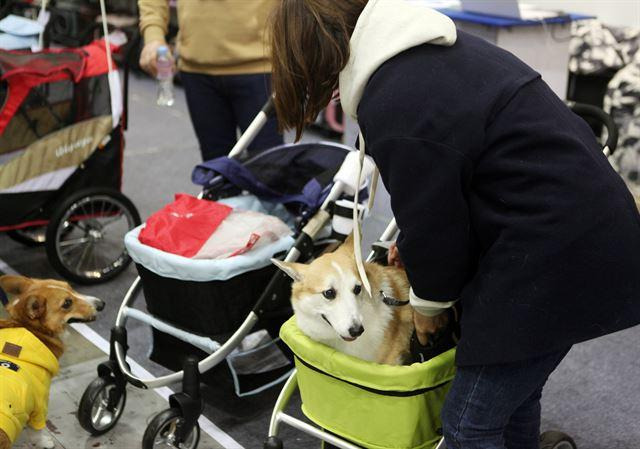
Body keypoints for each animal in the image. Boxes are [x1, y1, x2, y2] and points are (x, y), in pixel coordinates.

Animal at [0, 274, 103, 446]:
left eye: (70, 287)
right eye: (67, 303)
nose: (102, 304)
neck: (32, 329)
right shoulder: (40, 402)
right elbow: (36, 430)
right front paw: (44, 443)